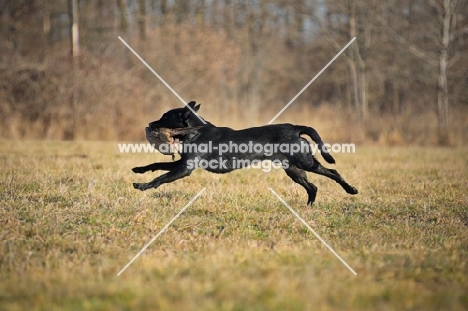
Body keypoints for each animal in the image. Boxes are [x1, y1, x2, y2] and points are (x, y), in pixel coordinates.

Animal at [132, 101, 358, 206]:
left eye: (165, 116)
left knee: (332, 172)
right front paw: (138, 169)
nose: (150, 124)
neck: (194, 131)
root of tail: (295, 128)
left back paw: (351, 189)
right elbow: (155, 165)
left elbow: (161, 177)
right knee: (313, 187)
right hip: (293, 170)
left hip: (304, 162)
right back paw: (308, 208)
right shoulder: (182, 162)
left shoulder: (185, 168)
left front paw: (142, 186)